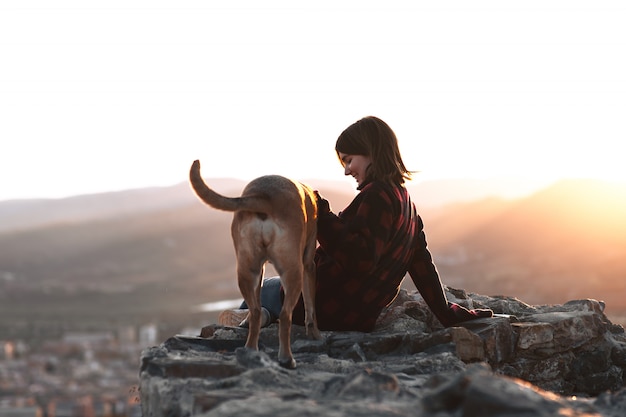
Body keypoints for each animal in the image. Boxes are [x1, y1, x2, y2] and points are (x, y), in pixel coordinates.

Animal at [188, 159, 320, 368]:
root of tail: (264, 198)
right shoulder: (308, 265)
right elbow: (310, 307)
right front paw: (315, 333)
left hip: (246, 270)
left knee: (256, 310)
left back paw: (250, 350)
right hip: (292, 271)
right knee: (285, 316)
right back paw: (287, 358)